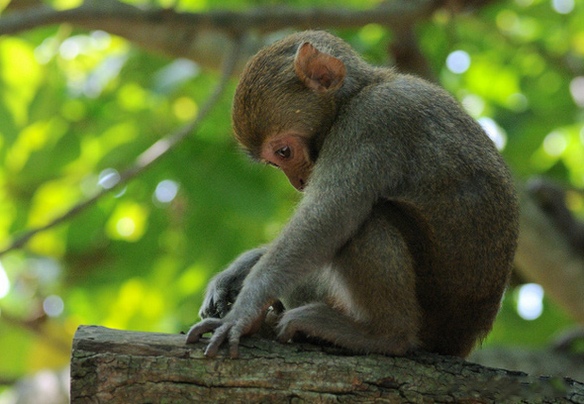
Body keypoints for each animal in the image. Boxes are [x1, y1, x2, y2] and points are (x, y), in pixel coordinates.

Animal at [185, 31, 516, 360]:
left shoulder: (371, 121)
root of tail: (463, 340)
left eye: (284, 152)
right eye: (276, 162)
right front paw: (240, 270)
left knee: (366, 219)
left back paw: (383, 335)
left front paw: (243, 312)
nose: (299, 181)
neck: (358, 93)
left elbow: (328, 216)